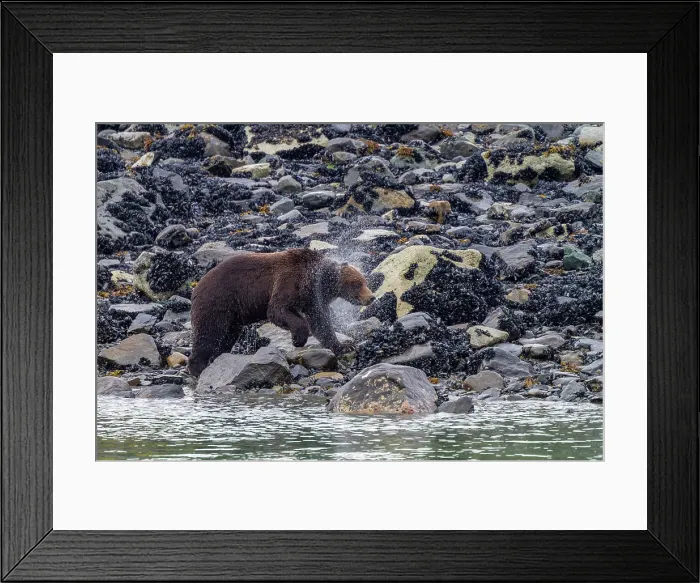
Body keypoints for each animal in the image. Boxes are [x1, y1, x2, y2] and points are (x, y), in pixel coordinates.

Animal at [187, 248, 375, 376]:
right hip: (217, 302)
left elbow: (320, 322)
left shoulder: (311, 299)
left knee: (226, 336)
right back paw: (198, 368)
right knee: (208, 333)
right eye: (357, 284)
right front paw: (298, 339)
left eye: (364, 281)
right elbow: (277, 310)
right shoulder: (289, 280)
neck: (314, 280)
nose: (371, 297)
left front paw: (344, 345)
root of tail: (196, 286)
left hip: (233, 316)